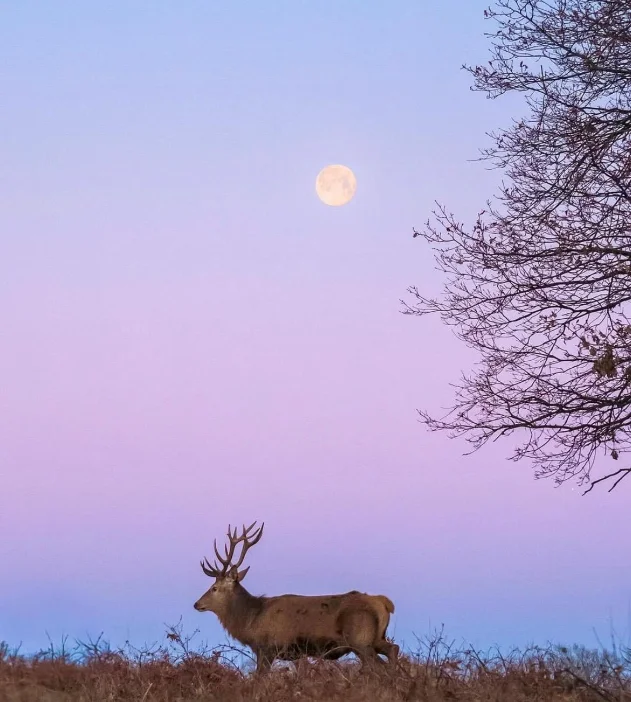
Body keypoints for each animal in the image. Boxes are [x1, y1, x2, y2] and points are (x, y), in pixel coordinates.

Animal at [193, 521, 399, 672]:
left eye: (214, 588)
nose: (196, 604)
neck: (251, 621)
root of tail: (383, 602)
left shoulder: (269, 648)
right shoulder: (296, 653)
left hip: (360, 639)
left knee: (378, 666)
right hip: (375, 637)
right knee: (393, 649)